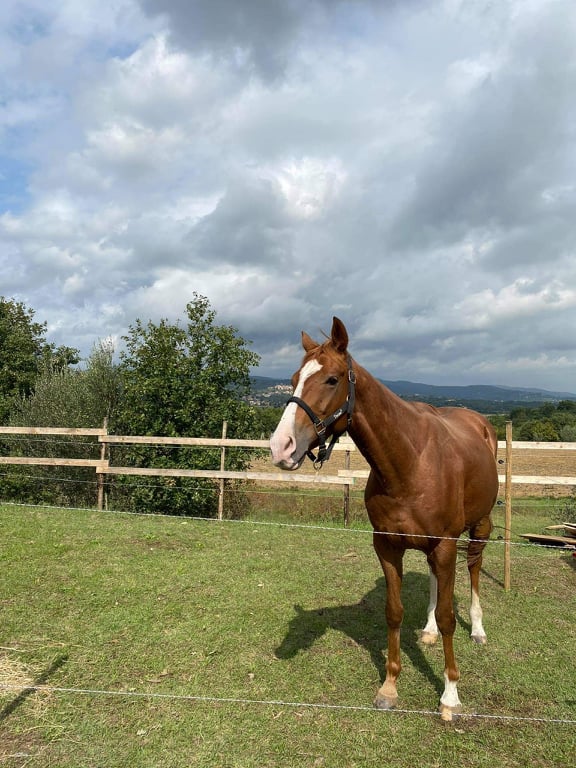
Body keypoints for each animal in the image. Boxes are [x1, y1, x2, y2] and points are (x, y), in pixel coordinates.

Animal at [270, 317, 499, 720]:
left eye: (331, 379)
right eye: (295, 377)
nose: (281, 447)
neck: (410, 461)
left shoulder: (445, 544)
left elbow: (448, 617)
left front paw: (450, 695)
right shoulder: (388, 546)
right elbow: (394, 612)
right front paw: (390, 687)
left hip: (478, 528)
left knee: (473, 569)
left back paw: (477, 628)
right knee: (436, 582)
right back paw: (427, 631)